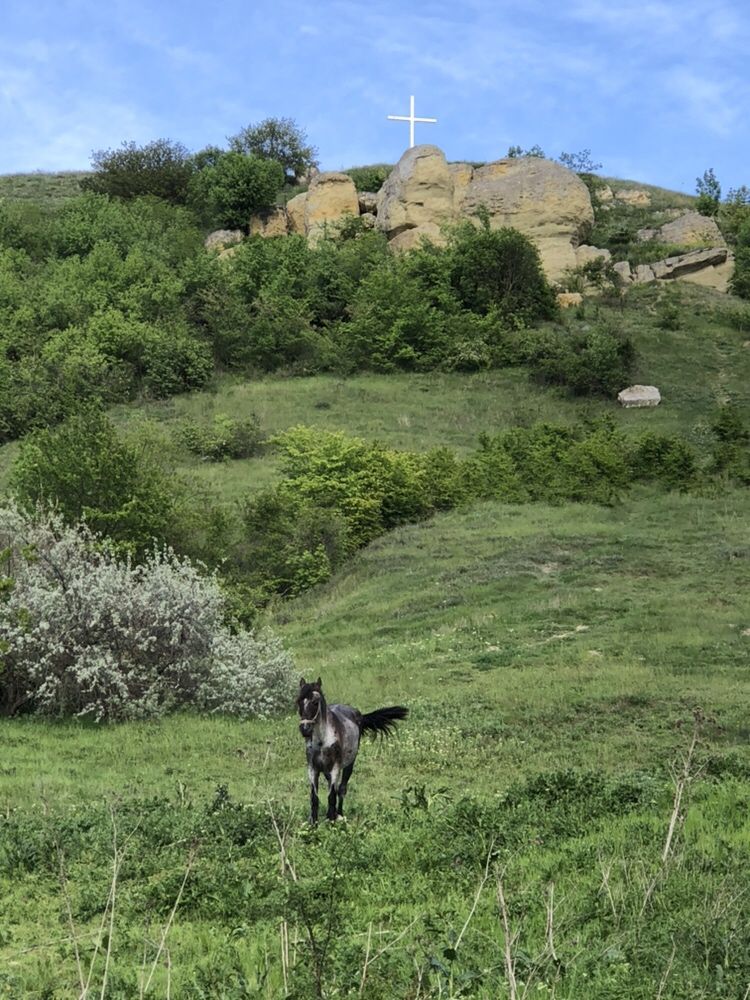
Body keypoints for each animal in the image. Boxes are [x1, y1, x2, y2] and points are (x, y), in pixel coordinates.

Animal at [296, 676, 408, 824]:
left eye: (315, 702)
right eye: (298, 702)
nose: (305, 729)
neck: (322, 741)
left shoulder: (335, 768)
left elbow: (332, 797)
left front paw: (332, 822)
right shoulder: (313, 769)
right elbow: (314, 798)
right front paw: (313, 824)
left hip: (349, 764)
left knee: (341, 789)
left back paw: (339, 815)